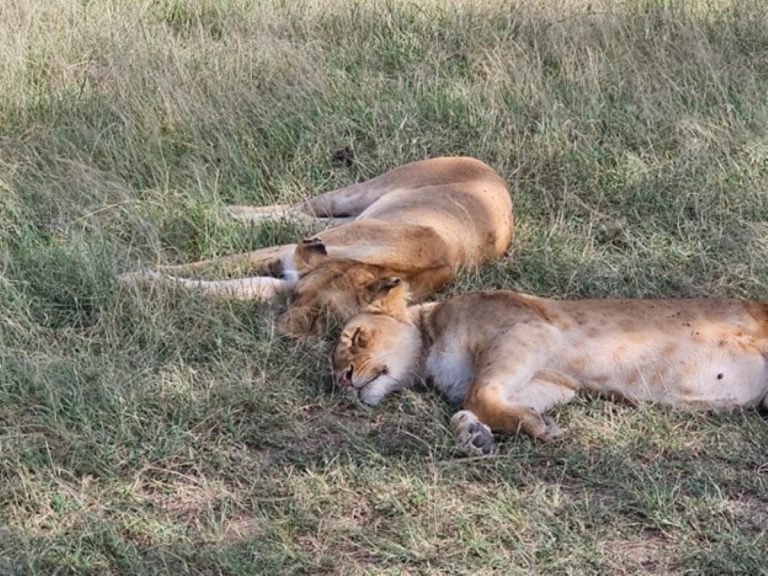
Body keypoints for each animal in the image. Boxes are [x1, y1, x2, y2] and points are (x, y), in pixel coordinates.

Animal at [122, 157, 513, 336]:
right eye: (299, 300)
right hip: (361, 191)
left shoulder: (282, 278)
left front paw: (143, 280)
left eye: (323, 318)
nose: (281, 333)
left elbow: (228, 288)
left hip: (343, 219)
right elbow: (215, 264)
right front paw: (134, 276)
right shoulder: (282, 257)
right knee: (298, 207)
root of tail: (491, 171)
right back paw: (213, 210)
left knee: (298, 217)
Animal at [332, 280, 768, 456]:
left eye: (356, 338)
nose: (343, 380)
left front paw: (534, 428)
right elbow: (472, 405)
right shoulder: (553, 381)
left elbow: (477, 394)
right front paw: (476, 435)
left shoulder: (527, 332)